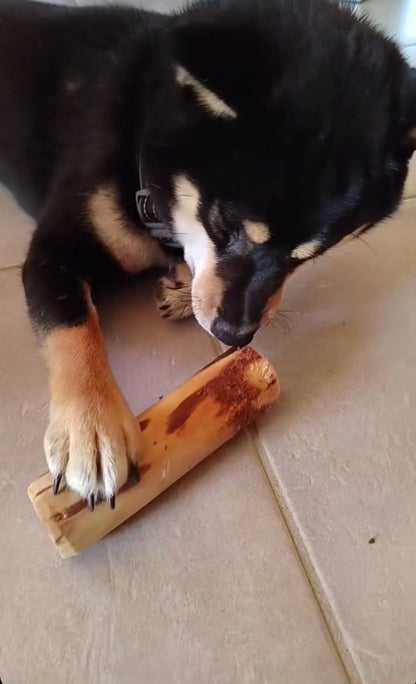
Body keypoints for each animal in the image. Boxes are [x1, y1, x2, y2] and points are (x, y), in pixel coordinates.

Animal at [0, 0, 414, 508]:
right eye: (225, 224)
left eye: (305, 258)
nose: (234, 335)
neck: (141, 127)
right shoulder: (53, 251)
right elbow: (71, 327)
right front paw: (91, 428)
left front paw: (181, 287)